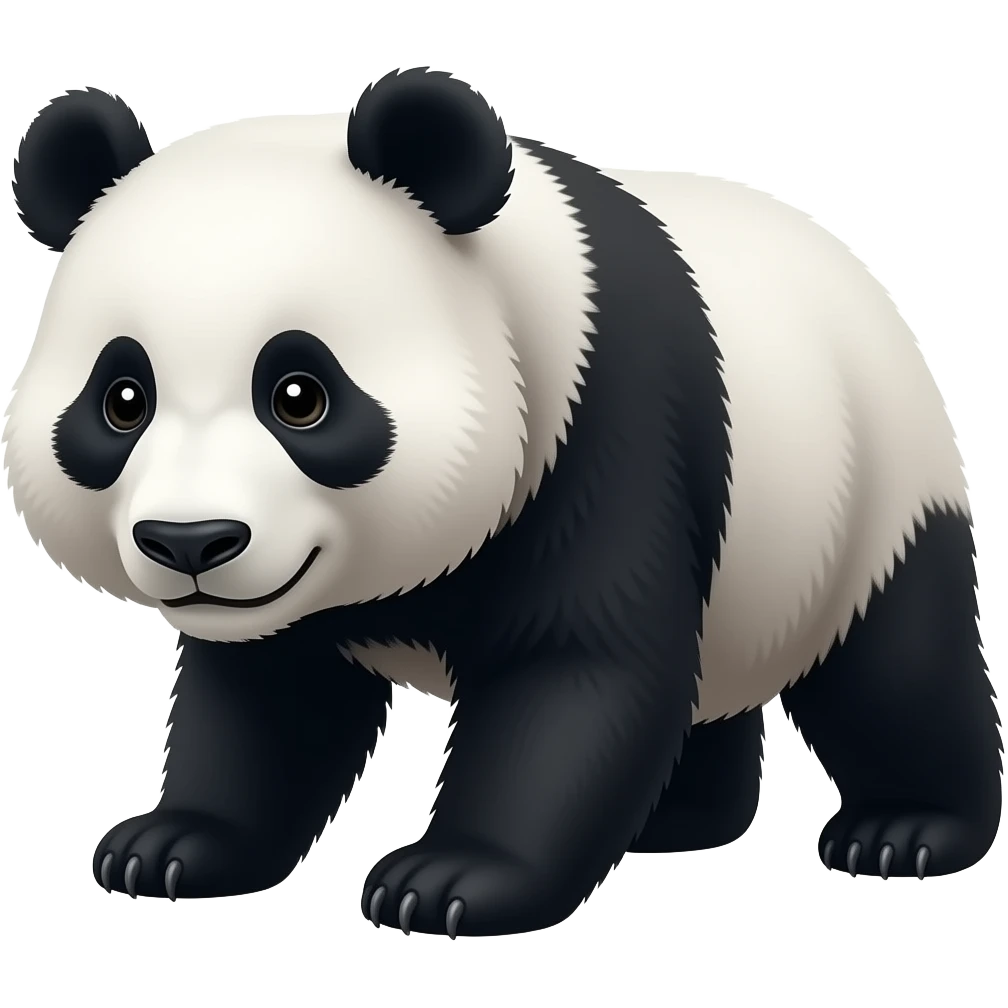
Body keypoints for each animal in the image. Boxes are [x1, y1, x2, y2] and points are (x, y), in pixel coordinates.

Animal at [5, 68, 1002, 934]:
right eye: (121, 399)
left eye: (300, 394)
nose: (191, 542)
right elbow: (269, 702)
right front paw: (172, 845)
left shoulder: (603, 437)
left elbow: (576, 670)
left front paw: (451, 879)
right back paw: (679, 820)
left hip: (876, 485)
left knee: (896, 664)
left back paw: (908, 830)